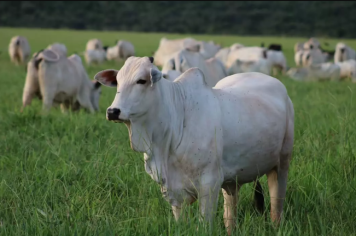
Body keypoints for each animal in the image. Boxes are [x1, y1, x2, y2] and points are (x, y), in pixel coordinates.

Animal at [93, 56, 294, 235]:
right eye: (117, 82)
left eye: (141, 81)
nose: (112, 111)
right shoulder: (173, 189)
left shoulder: (210, 183)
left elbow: (204, 225)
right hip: (232, 181)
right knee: (231, 212)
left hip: (282, 163)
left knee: (277, 204)